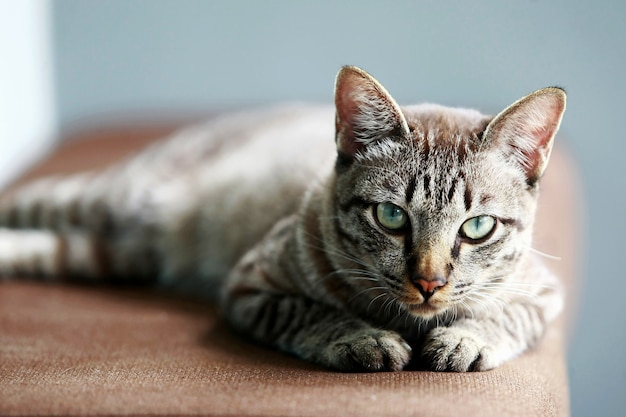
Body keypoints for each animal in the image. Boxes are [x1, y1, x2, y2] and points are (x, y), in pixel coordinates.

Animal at [0, 65, 564, 370]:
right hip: (117, 197)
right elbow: (311, 313)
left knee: (48, 246)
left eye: (477, 227)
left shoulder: (543, 292)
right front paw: (363, 337)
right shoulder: (251, 286)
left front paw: (465, 338)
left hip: (115, 254)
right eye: (391, 216)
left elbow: (506, 315)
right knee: (30, 199)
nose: (429, 282)